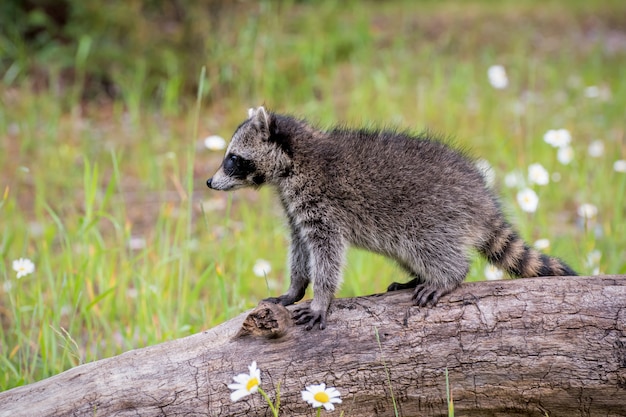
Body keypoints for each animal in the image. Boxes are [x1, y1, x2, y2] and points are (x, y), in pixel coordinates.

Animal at [206, 105, 576, 330]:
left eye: (232, 159)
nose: (209, 182)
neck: (295, 158)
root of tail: (481, 199)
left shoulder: (322, 203)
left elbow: (327, 253)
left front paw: (321, 299)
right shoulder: (296, 207)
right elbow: (301, 248)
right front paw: (295, 288)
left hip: (433, 216)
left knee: (431, 249)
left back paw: (447, 276)